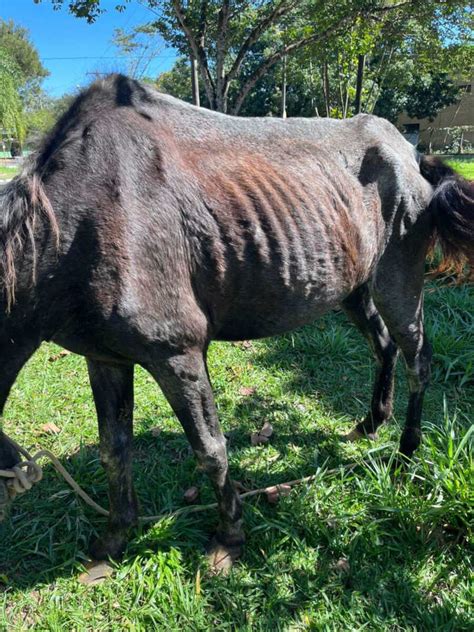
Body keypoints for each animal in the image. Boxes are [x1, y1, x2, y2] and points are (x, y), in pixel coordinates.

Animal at [0, 76, 474, 572]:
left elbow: (211, 450)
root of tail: (412, 154)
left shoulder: (178, 355)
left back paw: (406, 454)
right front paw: (114, 538)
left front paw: (229, 536)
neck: (75, 226)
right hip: (354, 289)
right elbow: (115, 449)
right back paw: (371, 424)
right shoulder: (105, 358)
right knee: (383, 347)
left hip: (399, 280)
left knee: (419, 360)